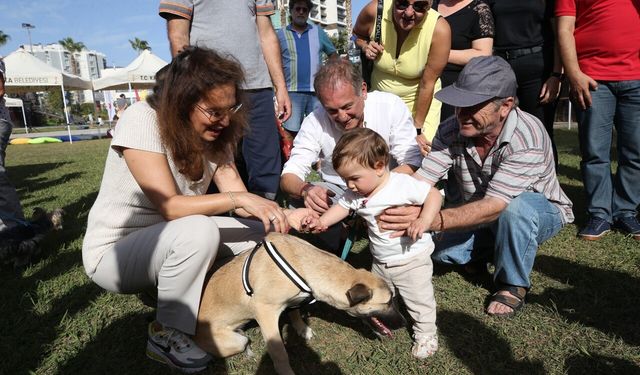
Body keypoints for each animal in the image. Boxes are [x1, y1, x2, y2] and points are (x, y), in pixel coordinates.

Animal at [195, 234, 404, 374]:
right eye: (387, 302)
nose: (404, 323)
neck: (303, 263)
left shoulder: (294, 300)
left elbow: (295, 312)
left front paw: (302, 328)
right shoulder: (265, 312)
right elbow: (279, 352)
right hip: (234, 341)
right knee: (243, 342)